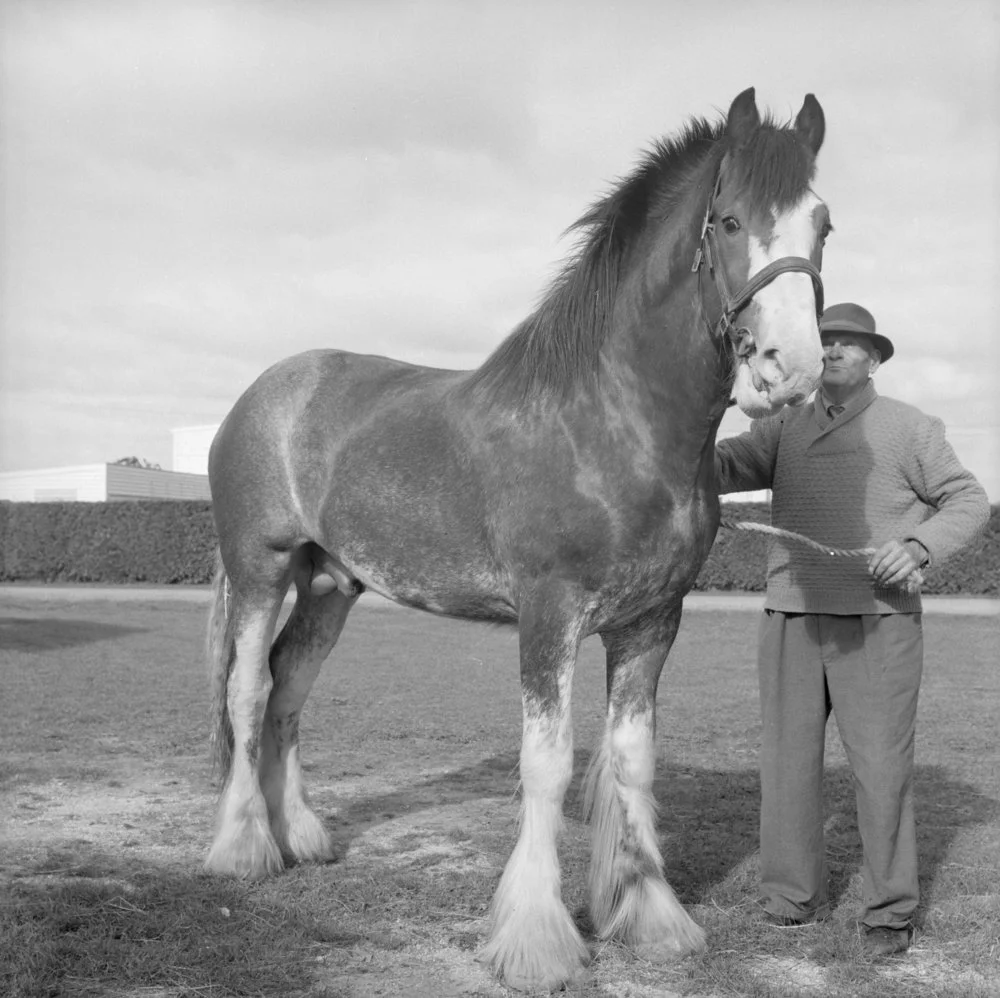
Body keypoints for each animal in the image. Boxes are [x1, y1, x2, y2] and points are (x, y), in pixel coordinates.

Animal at [203, 88, 828, 992]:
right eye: (732, 220)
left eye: (824, 224)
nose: (793, 367)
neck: (613, 422)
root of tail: (262, 393)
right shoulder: (549, 613)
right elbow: (549, 764)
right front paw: (536, 941)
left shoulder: (653, 622)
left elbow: (632, 761)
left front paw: (652, 919)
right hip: (261, 571)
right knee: (250, 690)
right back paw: (244, 849)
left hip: (330, 587)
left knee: (289, 687)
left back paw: (302, 839)